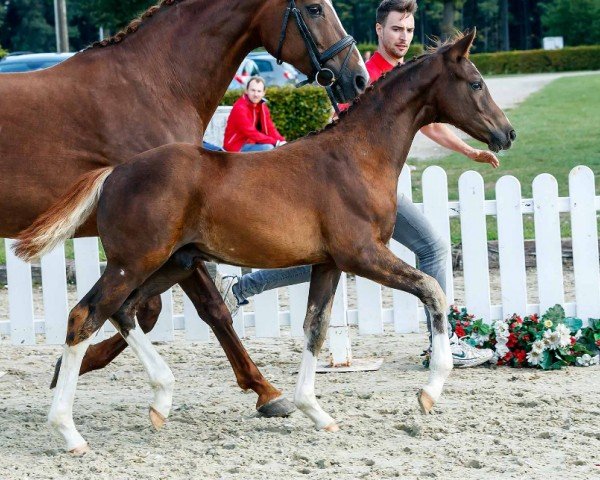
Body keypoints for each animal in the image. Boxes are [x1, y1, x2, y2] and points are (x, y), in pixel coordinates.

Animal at [18, 29, 516, 450]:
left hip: (172, 263)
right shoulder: (362, 255)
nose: (506, 134)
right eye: (475, 83)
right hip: (135, 262)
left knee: (123, 312)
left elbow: (315, 328)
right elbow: (432, 291)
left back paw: (161, 400)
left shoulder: (329, 263)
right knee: (85, 315)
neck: (357, 156)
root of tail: (115, 172)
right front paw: (429, 392)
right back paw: (69, 431)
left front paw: (315, 411)